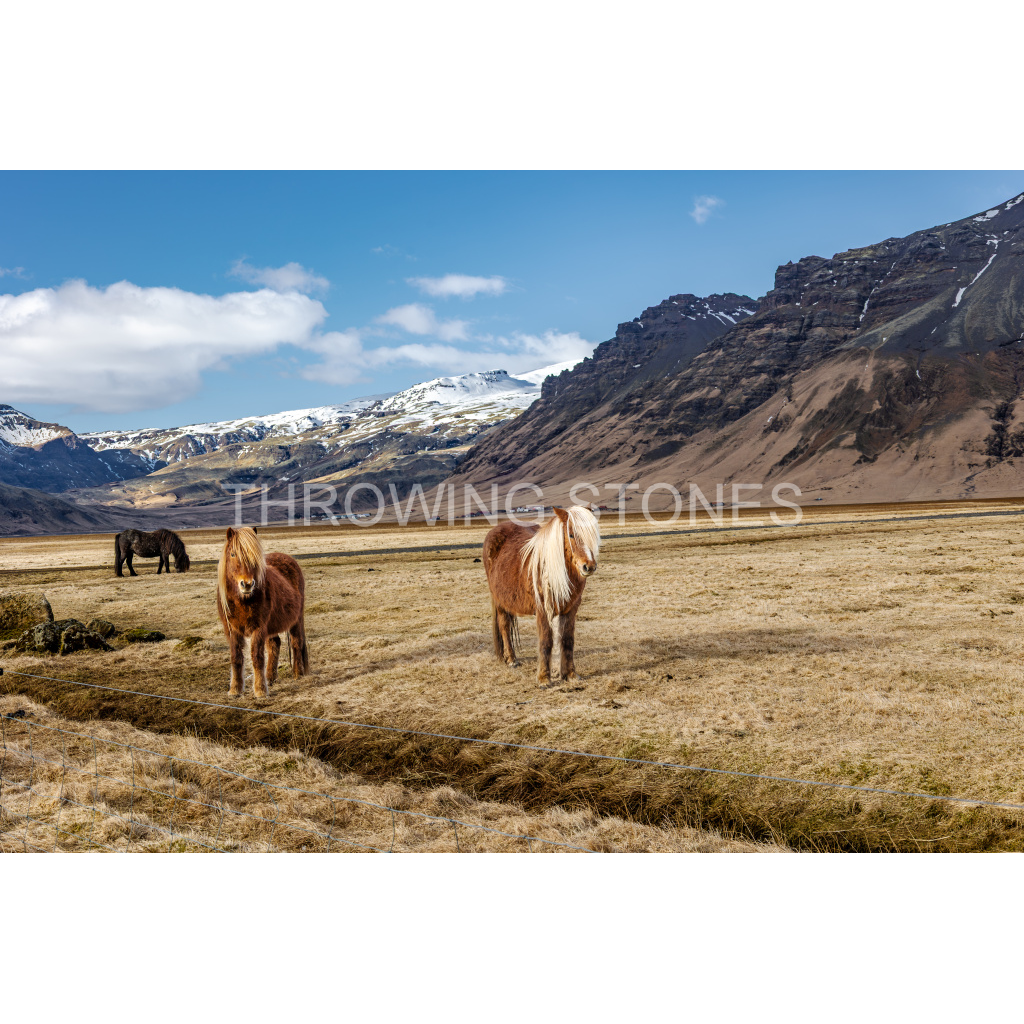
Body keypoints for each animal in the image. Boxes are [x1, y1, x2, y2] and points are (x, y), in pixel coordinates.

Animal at [216, 527, 309, 698]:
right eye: (232, 554)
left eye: (254, 557)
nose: (247, 584)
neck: (243, 600)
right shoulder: (232, 630)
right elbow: (236, 657)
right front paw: (235, 690)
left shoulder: (259, 628)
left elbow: (257, 657)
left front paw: (260, 690)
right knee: (275, 643)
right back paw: (270, 677)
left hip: (296, 619)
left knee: (296, 642)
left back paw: (297, 674)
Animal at [483, 505, 600, 688]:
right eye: (571, 534)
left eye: (593, 534)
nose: (589, 566)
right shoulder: (543, 610)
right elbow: (546, 641)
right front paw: (544, 679)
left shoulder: (571, 609)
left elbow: (567, 640)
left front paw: (571, 674)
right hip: (500, 602)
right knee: (504, 626)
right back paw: (511, 660)